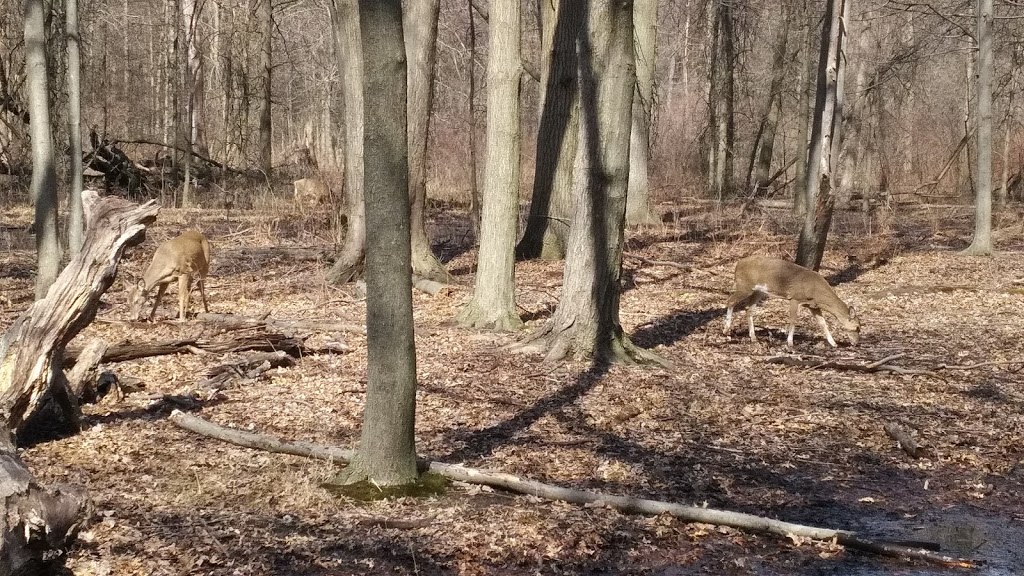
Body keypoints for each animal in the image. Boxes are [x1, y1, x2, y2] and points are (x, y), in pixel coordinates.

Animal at [724, 255, 860, 344]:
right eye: (857, 327)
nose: (856, 343)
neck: (816, 292)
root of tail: (737, 265)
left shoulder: (812, 305)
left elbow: (822, 323)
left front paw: (833, 343)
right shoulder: (795, 298)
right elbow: (793, 320)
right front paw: (790, 343)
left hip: (759, 291)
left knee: (748, 309)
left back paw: (753, 337)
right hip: (745, 286)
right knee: (730, 301)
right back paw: (726, 331)